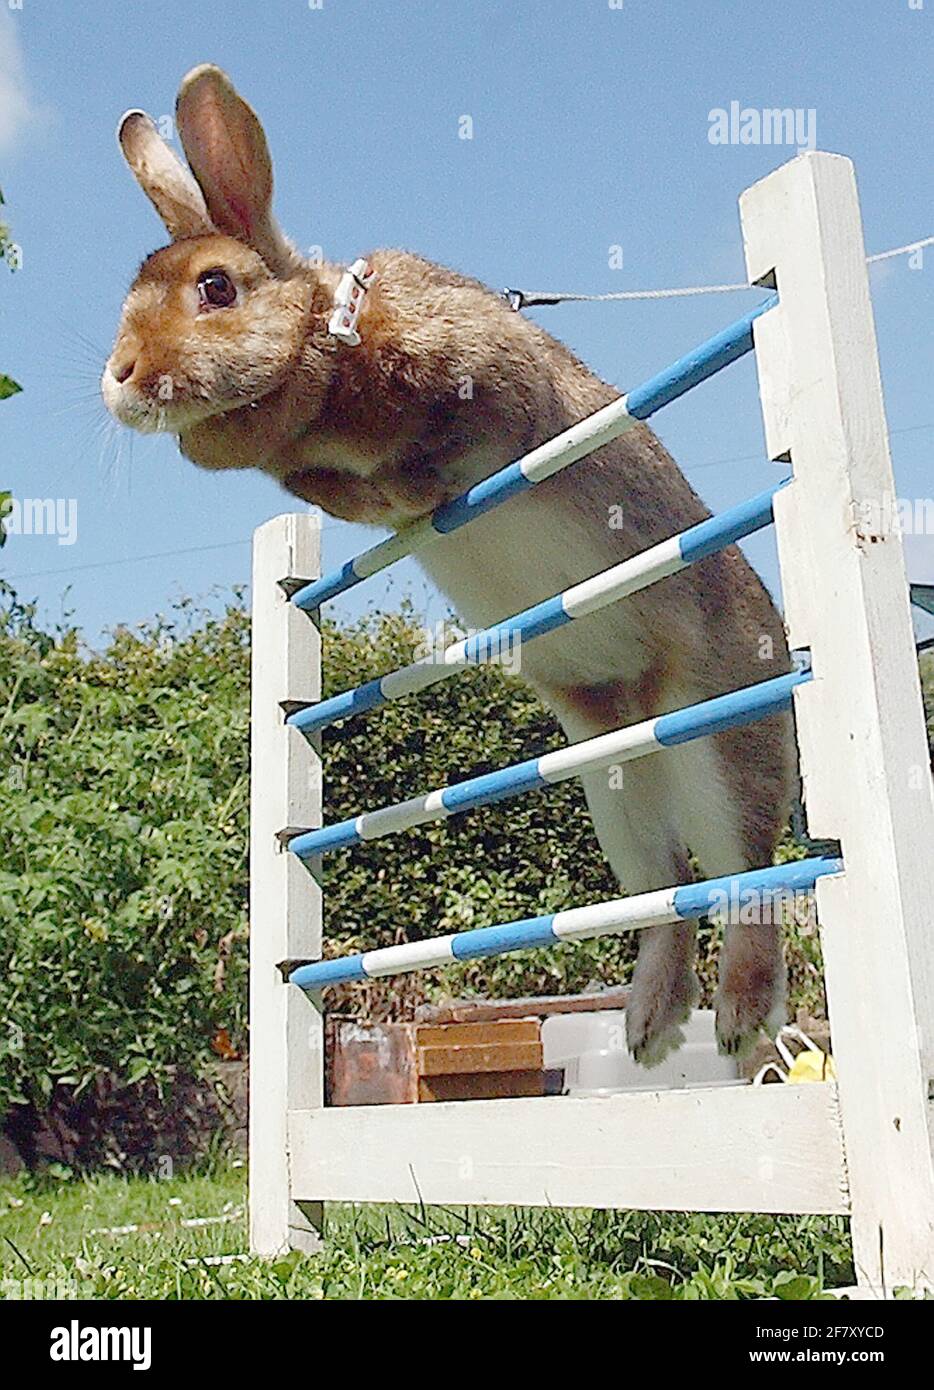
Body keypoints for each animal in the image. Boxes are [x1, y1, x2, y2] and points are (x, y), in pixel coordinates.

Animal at [102, 64, 795, 1064]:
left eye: (217, 288)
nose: (118, 375)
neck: (328, 340)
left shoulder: (484, 388)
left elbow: (441, 451)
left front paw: (421, 482)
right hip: (613, 777)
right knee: (666, 895)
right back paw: (649, 1030)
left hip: (714, 729)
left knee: (748, 877)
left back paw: (741, 1022)